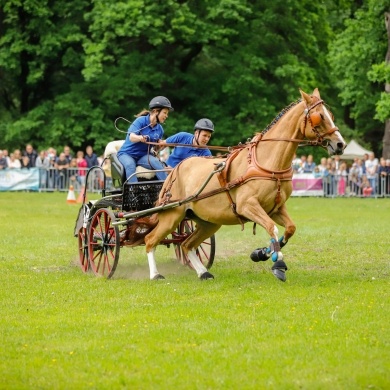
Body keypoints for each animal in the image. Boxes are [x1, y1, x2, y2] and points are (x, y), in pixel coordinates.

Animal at [145, 89, 346, 280]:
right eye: (319, 116)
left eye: (330, 115)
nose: (340, 144)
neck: (268, 162)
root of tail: (174, 171)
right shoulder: (247, 205)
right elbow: (271, 228)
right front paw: (277, 263)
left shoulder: (275, 208)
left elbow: (290, 228)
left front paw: (262, 253)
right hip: (172, 215)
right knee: (150, 240)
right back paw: (155, 275)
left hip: (208, 222)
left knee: (187, 244)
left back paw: (203, 272)